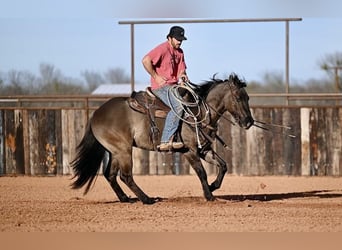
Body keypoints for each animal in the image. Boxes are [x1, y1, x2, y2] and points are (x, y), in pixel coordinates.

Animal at [71, 73, 254, 204]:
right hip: (123, 150)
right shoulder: (189, 151)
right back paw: (146, 199)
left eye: (247, 97)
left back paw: (125, 199)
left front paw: (213, 186)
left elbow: (223, 166)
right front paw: (209, 195)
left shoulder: (204, 149)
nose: (249, 122)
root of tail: (96, 113)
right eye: (238, 97)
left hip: (115, 151)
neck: (197, 113)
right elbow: (201, 172)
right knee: (126, 176)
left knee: (110, 175)